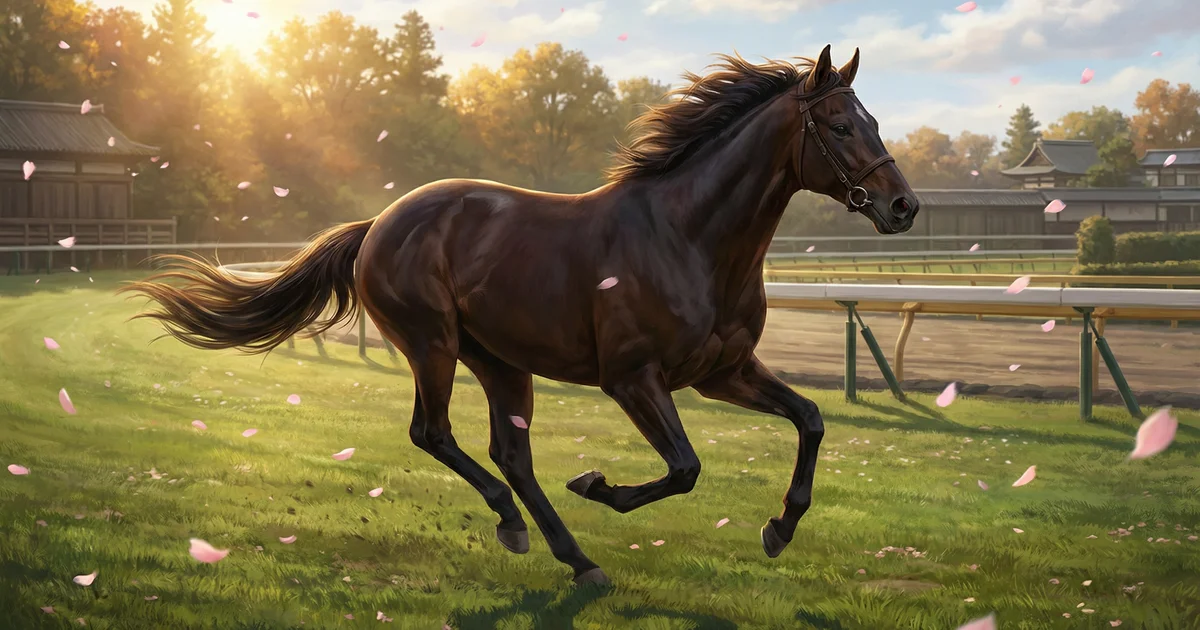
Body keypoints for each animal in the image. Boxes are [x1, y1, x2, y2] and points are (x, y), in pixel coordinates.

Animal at [122, 44, 917, 586]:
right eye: (839, 126)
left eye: (874, 120)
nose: (904, 206)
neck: (690, 237)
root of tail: (378, 222)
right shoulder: (633, 377)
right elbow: (686, 467)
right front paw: (598, 484)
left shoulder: (723, 371)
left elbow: (810, 419)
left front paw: (779, 526)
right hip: (433, 343)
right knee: (434, 433)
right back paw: (518, 524)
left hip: (500, 360)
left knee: (510, 452)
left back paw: (573, 555)